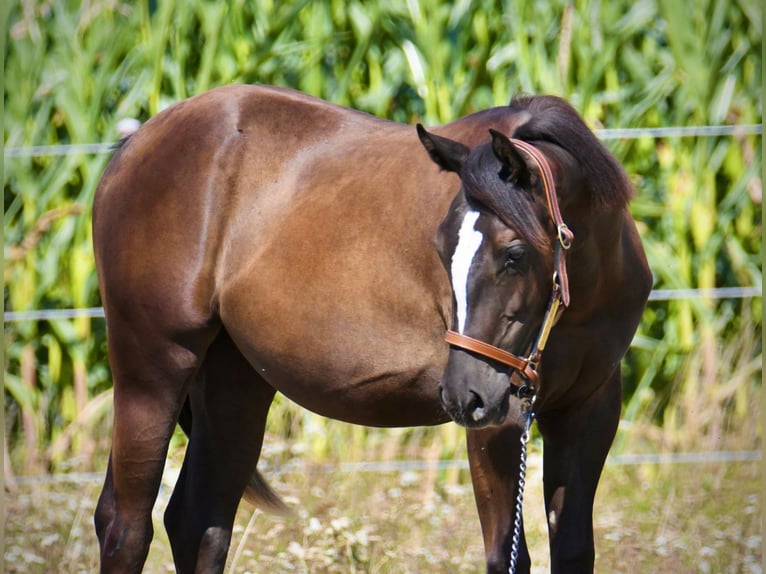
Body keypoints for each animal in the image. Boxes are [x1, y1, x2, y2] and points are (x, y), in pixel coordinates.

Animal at [92, 84, 651, 573]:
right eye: (441, 247)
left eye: (514, 254)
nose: (462, 395)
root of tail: (133, 147)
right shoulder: (503, 419)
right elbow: (508, 558)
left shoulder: (590, 408)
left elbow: (574, 552)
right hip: (153, 370)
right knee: (126, 526)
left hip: (233, 381)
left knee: (199, 524)